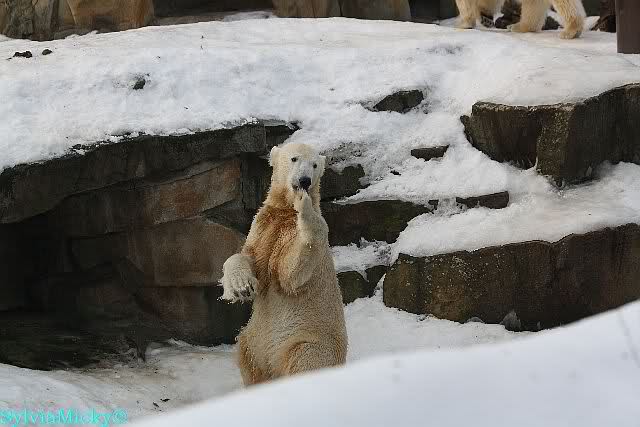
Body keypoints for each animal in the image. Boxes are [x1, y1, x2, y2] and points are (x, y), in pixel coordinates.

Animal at [220, 142, 348, 386]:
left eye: (314, 165)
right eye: (294, 158)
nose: (305, 180)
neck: (286, 212)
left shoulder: (293, 236)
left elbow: (288, 274)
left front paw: (306, 208)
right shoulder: (264, 227)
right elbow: (248, 257)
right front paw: (241, 287)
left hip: (307, 340)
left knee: (304, 360)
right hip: (255, 340)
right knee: (247, 355)